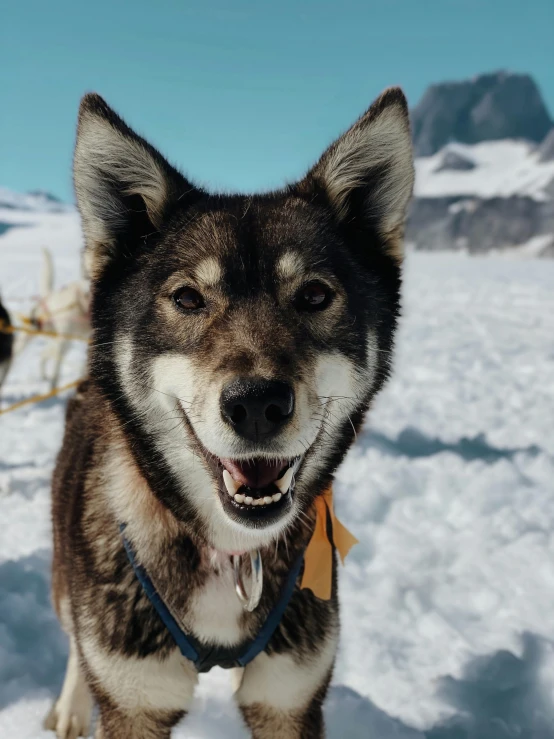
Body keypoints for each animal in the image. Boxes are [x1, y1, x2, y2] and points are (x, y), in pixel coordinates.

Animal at [46, 88, 410, 739]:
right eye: (188, 297)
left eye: (315, 295)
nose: (257, 405)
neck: (228, 552)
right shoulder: (134, 702)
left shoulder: (288, 698)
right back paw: (69, 705)